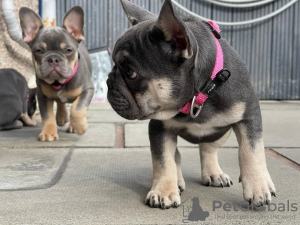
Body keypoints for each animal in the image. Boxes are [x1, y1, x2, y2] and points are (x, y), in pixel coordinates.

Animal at [19, 6, 94, 141]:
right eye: (39, 51)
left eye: (68, 50)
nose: (53, 58)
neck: (59, 82)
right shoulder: (42, 96)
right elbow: (47, 116)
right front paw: (48, 133)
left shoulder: (87, 90)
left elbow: (77, 108)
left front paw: (79, 127)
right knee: (60, 102)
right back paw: (61, 116)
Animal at [107, 0, 276, 209]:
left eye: (130, 73)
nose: (108, 81)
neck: (200, 93)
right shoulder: (159, 128)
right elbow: (164, 160)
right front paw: (164, 191)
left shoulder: (248, 114)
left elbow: (251, 150)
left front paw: (258, 186)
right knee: (177, 155)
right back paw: (177, 181)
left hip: (222, 133)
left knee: (208, 147)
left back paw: (214, 173)